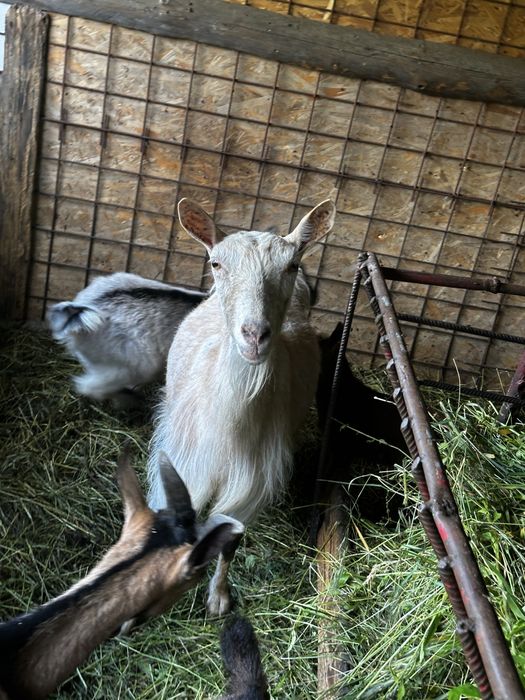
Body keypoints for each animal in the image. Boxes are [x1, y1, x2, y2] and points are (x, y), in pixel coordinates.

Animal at [148, 198, 336, 615]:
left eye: (291, 264)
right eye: (217, 263)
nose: (254, 335)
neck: (230, 423)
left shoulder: (252, 480)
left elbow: (230, 537)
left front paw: (217, 598)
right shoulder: (184, 459)